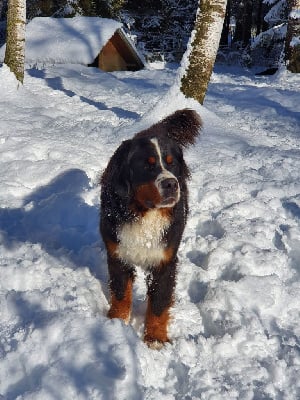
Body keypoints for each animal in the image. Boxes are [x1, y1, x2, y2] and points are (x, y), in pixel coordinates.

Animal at [100, 108, 202, 348]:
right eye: (148, 164)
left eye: (171, 163)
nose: (171, 183)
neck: (144, 215)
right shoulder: (118, 254)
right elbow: (121, 294)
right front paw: (116, 324)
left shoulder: (164, 261)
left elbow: (158, 303)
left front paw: (155, 338)